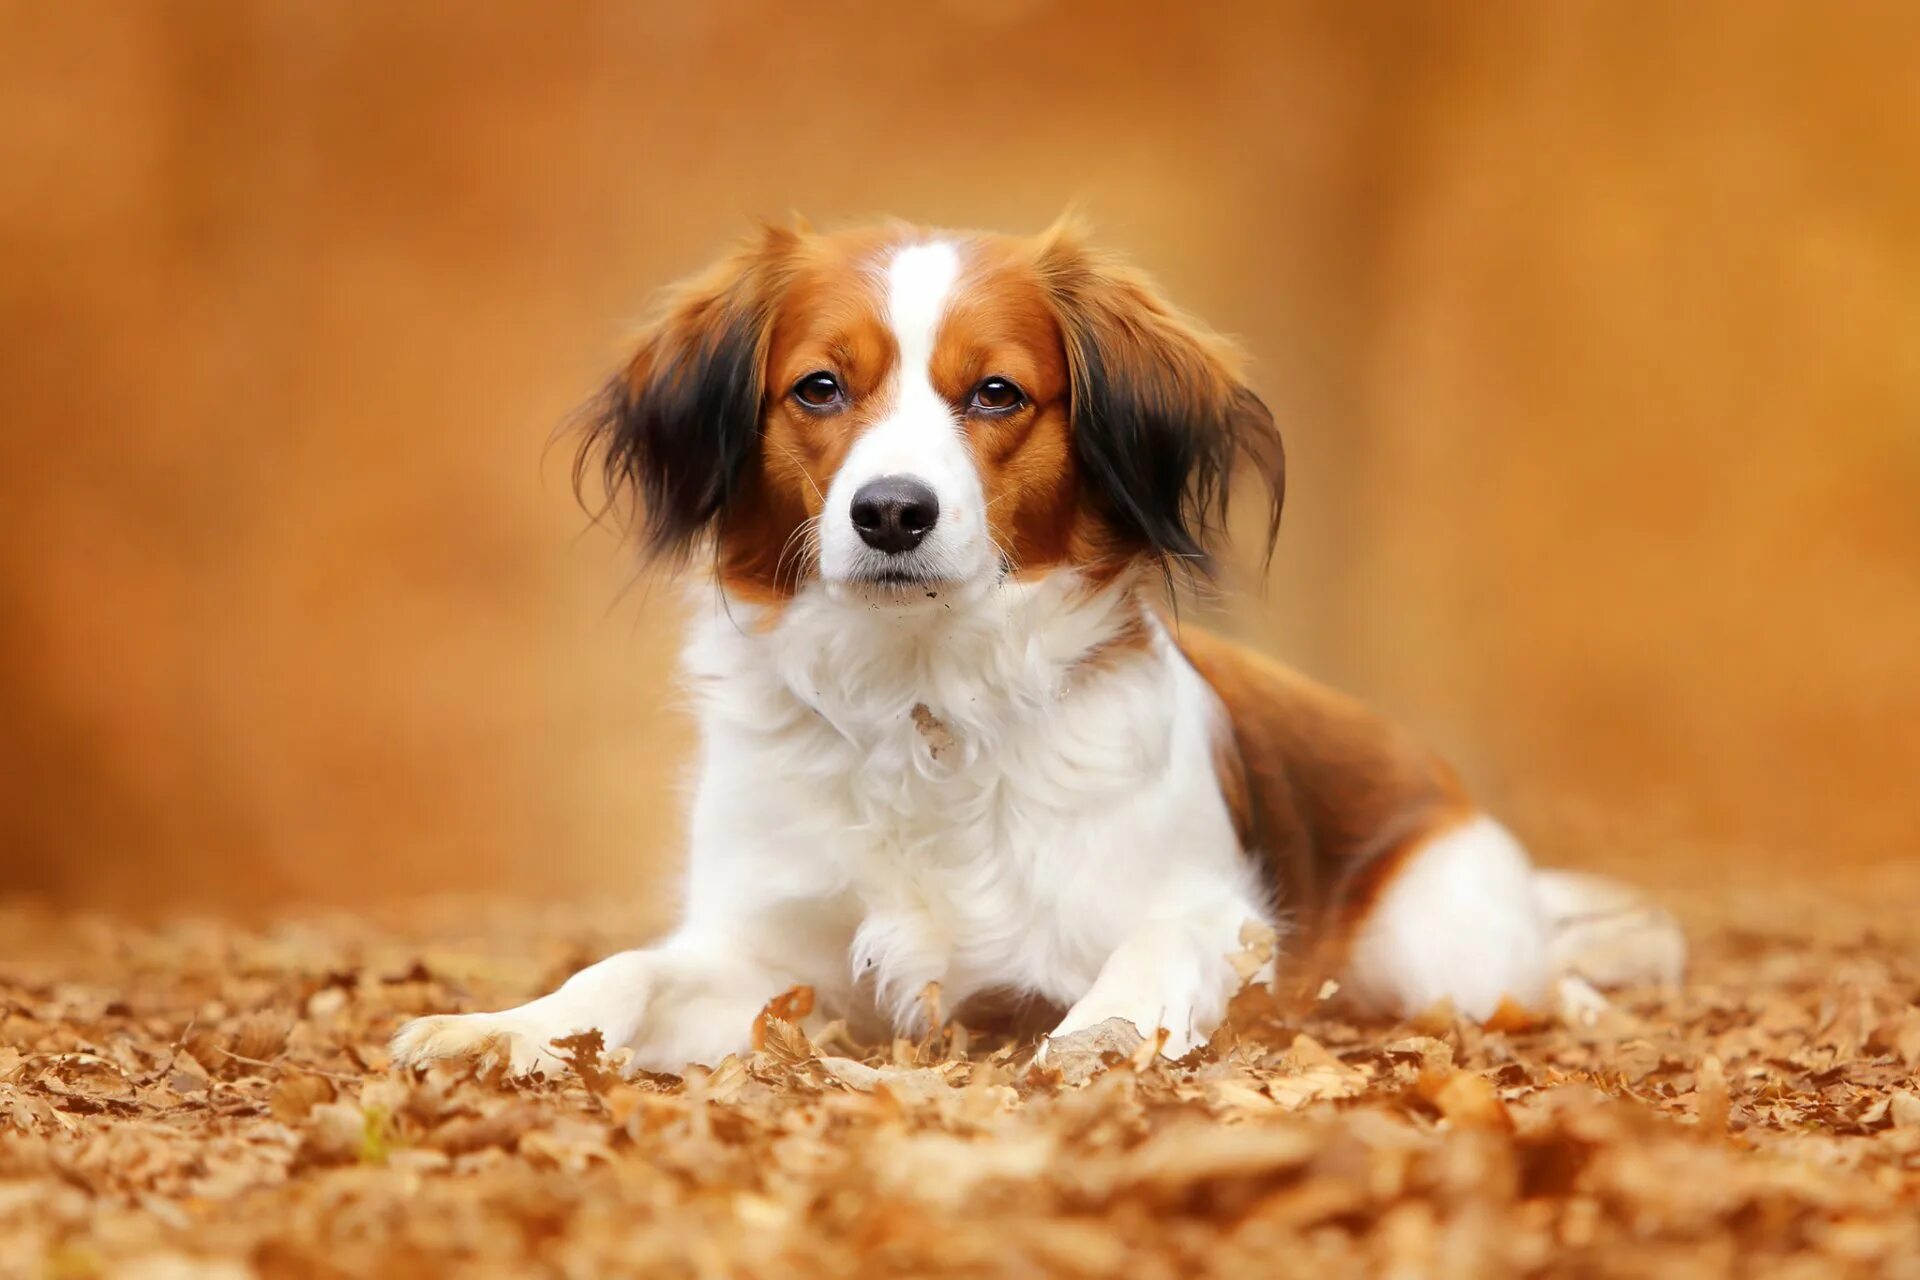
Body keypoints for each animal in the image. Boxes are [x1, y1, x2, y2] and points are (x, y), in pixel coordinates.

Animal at [389, 220, 1681, 1082]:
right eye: (820, 386)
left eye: (998, 392)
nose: (892, 512)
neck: (923, 700)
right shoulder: (762, 954)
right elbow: (623, 972)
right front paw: (500, 1027)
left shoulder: (1205, 906)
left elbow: (1157, 950)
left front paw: (1096, 1037)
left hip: (1444, 950)